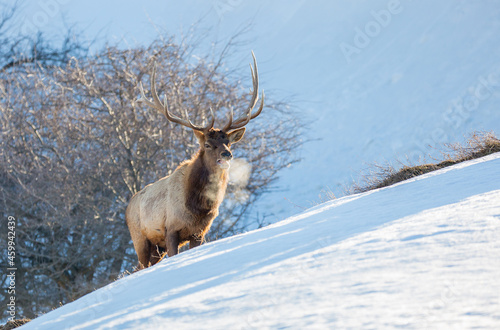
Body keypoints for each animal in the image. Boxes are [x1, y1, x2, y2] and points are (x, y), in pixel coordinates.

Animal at [127, 52, 264, 268]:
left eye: (228, 143)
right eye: (207, 144)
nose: (227, 154)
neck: (198, 207)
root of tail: (127, 207)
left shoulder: (200, 232)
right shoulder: (170, 228)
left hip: (157, 249)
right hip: (139, 239)